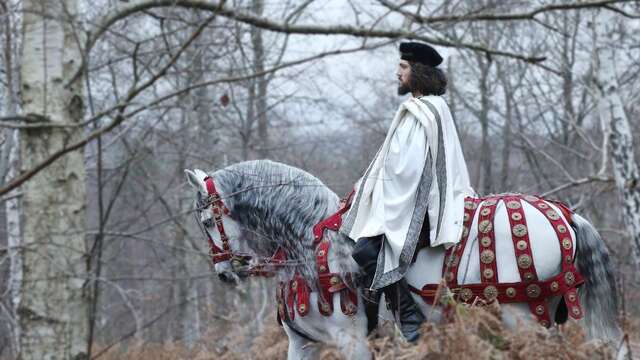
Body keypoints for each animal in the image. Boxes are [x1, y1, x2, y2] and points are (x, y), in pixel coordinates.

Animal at [184, 160, 620, 360]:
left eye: (207, 221)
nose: (224, 273)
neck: (309, 246)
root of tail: (564, 215)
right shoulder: (303, 344)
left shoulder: (353, 343)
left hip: (521, 319)